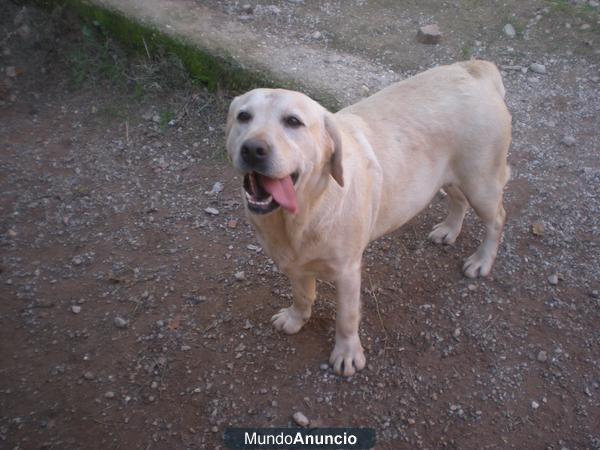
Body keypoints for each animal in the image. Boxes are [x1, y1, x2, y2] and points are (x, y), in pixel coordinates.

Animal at [225, 59, 510, 376]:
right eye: (243, 116)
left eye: (293, 122)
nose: (253, 149)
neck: (305, 210)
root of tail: (474, 68)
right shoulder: (294, 264)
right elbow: (302, 295)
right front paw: (296, 318)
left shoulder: (348, 271)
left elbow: (347, 317)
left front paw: (347, 353)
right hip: (446, 177)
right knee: (458, 201)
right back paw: (449, 229)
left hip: (481, 183)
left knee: (497, 218)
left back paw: (482, 260)